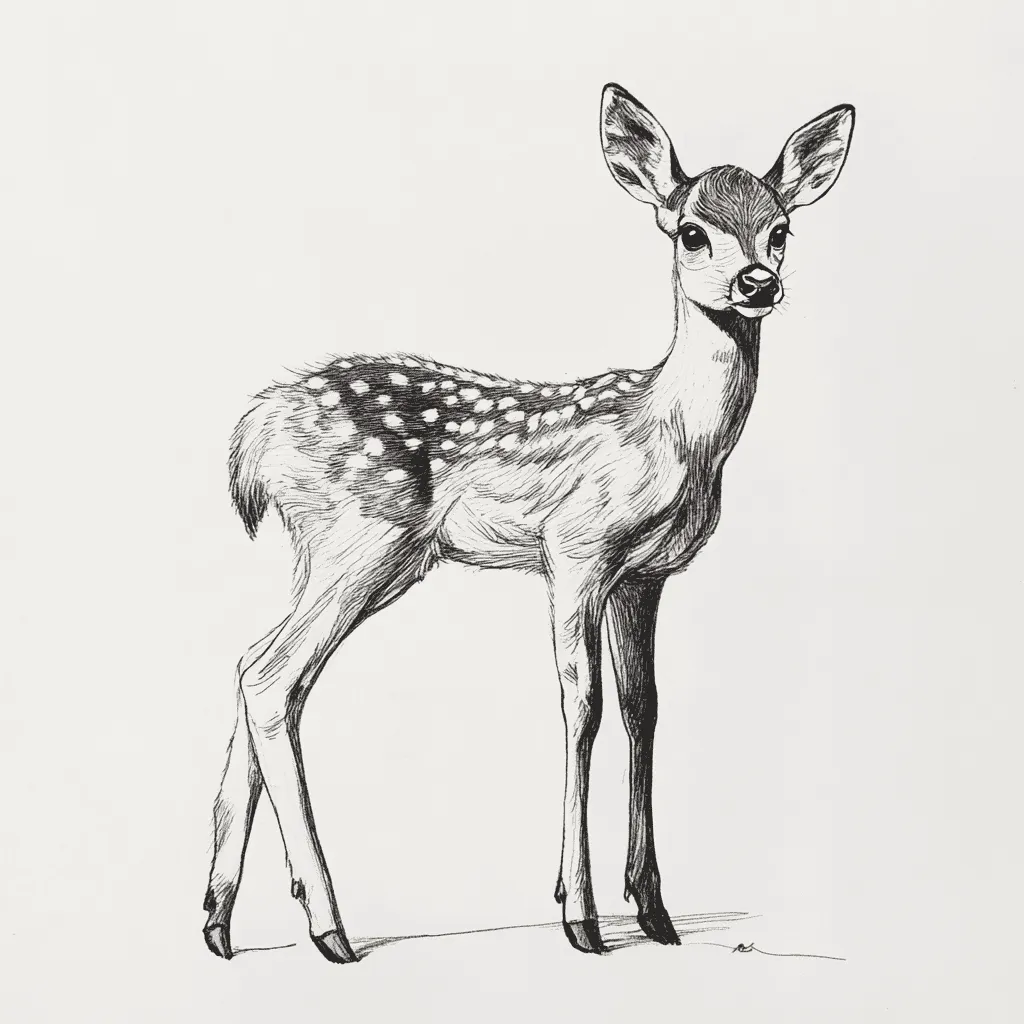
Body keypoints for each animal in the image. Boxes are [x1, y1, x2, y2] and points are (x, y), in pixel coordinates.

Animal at [202, 83, 854, 964]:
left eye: (781, 229)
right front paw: (580, 915)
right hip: (360, 538)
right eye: (692, 230)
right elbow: (583, 706)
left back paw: (219, 918)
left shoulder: (644, 576)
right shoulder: (576, 550)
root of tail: (255, 431)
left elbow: (644, 707)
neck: (672, 436)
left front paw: (655, 912)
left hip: (345, 553)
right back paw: (330, 926)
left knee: (252, 661)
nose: (758, 283)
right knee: (272, 677)